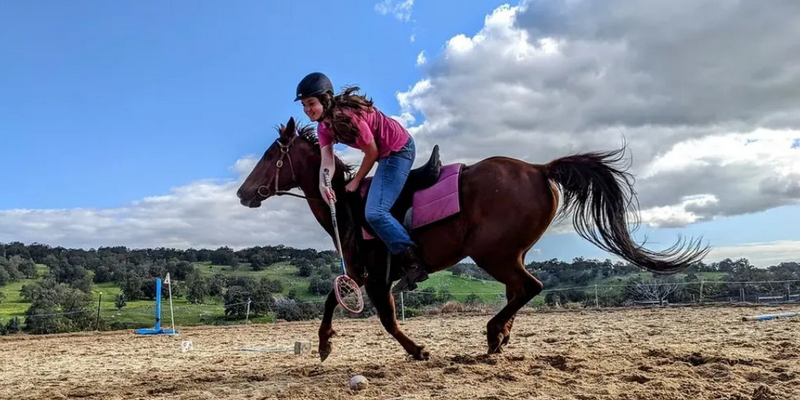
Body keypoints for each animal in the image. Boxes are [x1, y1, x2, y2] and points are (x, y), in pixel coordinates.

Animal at [236, 116, 710, 361]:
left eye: (270, 156)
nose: (243, 193)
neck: (347, 205)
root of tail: (539, 169)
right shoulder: (360, 274)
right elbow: (331, 301)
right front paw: (324, 344)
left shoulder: (375, 276)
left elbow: (386, 319)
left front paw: (416, 350)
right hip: (509, 253)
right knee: (520, 290)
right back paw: (501, 336)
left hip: (491, 253)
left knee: (529, 287)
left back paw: (494, 333)